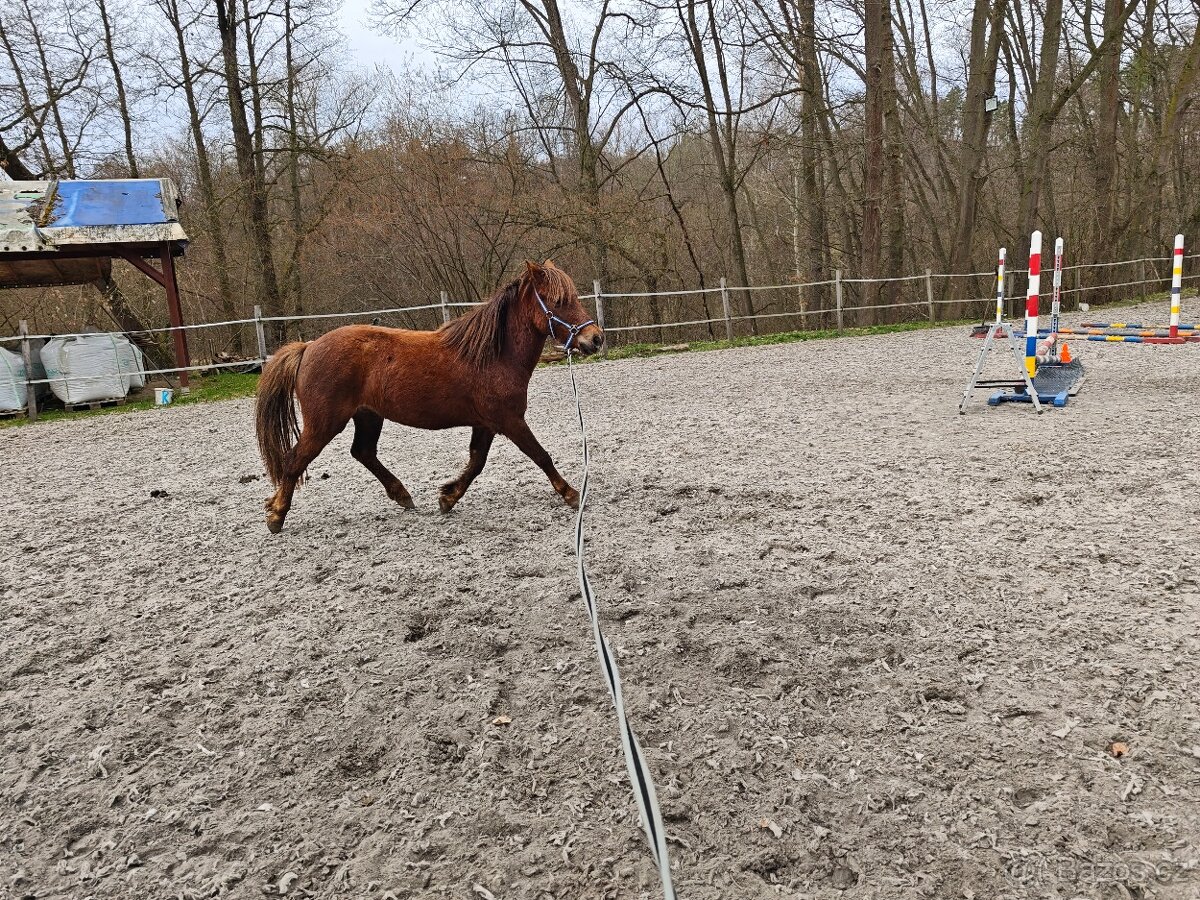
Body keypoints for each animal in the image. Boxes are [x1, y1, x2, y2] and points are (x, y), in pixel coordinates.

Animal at [255, 260, 604, 533]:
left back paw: (402, 495)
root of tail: (309, 347)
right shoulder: (509, 421)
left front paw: (448, 497)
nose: (595, 338)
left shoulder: (486, 424)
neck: (493, 356)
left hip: (368, 416)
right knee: (294, 460)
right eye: (557, 301)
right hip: (325, 423)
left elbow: (476, 462)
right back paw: (277, 515)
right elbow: (540, 456)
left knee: (363, 452)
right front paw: (572, 494)